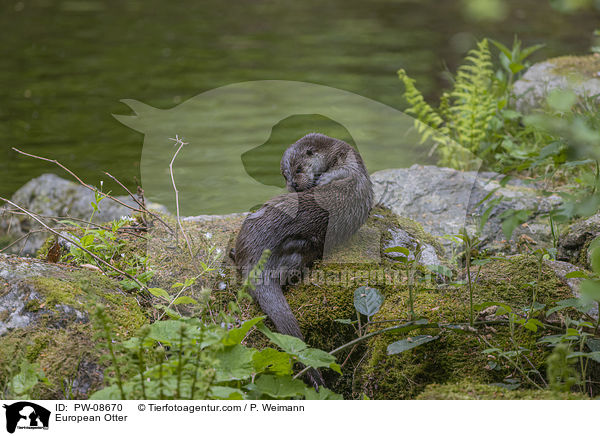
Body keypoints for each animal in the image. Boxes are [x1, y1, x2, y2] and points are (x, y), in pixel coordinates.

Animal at [233, 133, 370, 384]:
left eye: (298, 169)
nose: (294, 185)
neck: (336, 155)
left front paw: (324, 179)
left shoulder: (351, 163)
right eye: (284, 174)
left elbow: (341, 174)